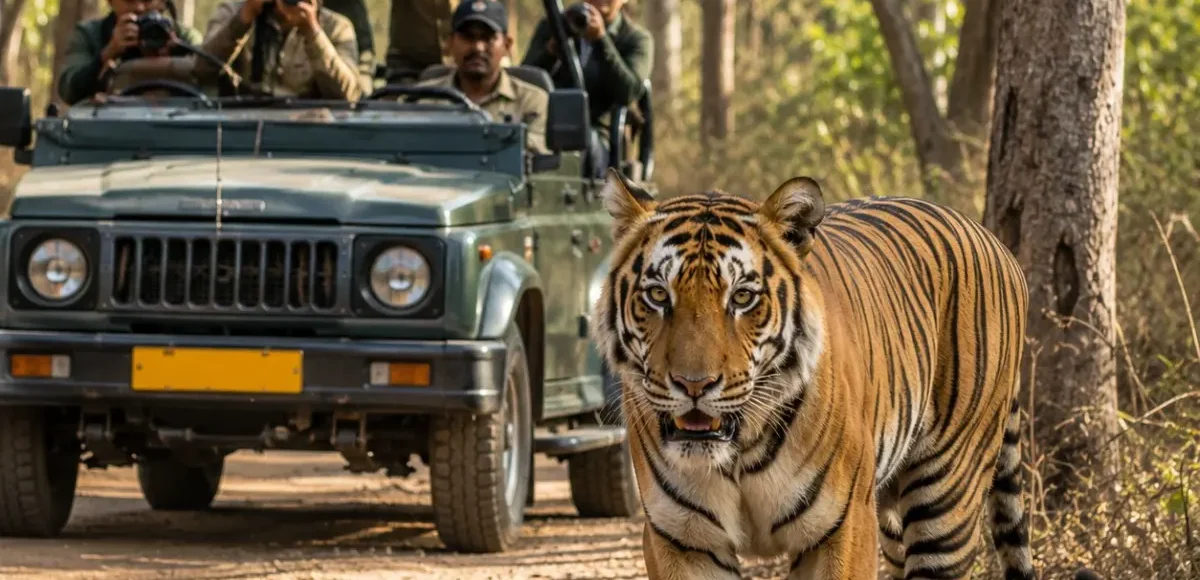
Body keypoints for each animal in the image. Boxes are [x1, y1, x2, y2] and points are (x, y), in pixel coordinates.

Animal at [590, 168, 1036, 580]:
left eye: (742, 297)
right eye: (657, 295)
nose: (693, 384)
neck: (738, 451)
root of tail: (995, 241)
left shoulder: (842, 527)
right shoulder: (682, 540)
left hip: (947, 501)